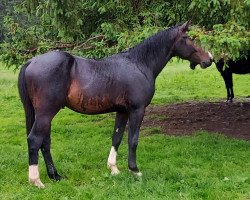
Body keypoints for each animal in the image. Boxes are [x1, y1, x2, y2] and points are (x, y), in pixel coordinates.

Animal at [18, 21, 213, 188]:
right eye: (188, 38)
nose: (209, 59)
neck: (139, 64)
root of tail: (31, 61)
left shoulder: (122, 111)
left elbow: (117, 138)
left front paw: (114, 169)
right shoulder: (137, 110)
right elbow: (133, 139)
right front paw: (135, 170)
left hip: (44, 114)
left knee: (45, 142)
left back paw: (55, 176)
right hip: (46, 113)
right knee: (35, 140)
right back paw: (36, 181)